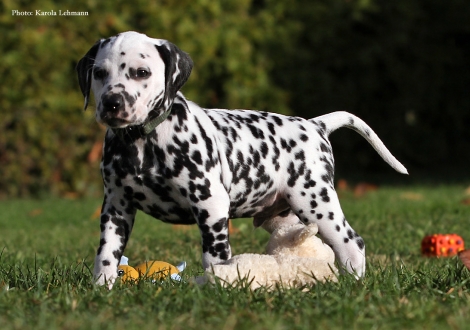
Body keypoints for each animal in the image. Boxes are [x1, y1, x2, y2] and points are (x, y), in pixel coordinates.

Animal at [77, 31, 408, 288]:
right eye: (99, 73)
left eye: (141, 72)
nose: (112, 103)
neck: (144, 142)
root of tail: (315, 125)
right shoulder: (116, 206)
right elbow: (106, 253)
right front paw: (103, 287)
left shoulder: (210, 204)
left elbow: (214, 257)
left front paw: (217, 285)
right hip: (286, 217)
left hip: (315, 201)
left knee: (351, 242)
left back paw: (352, 283)